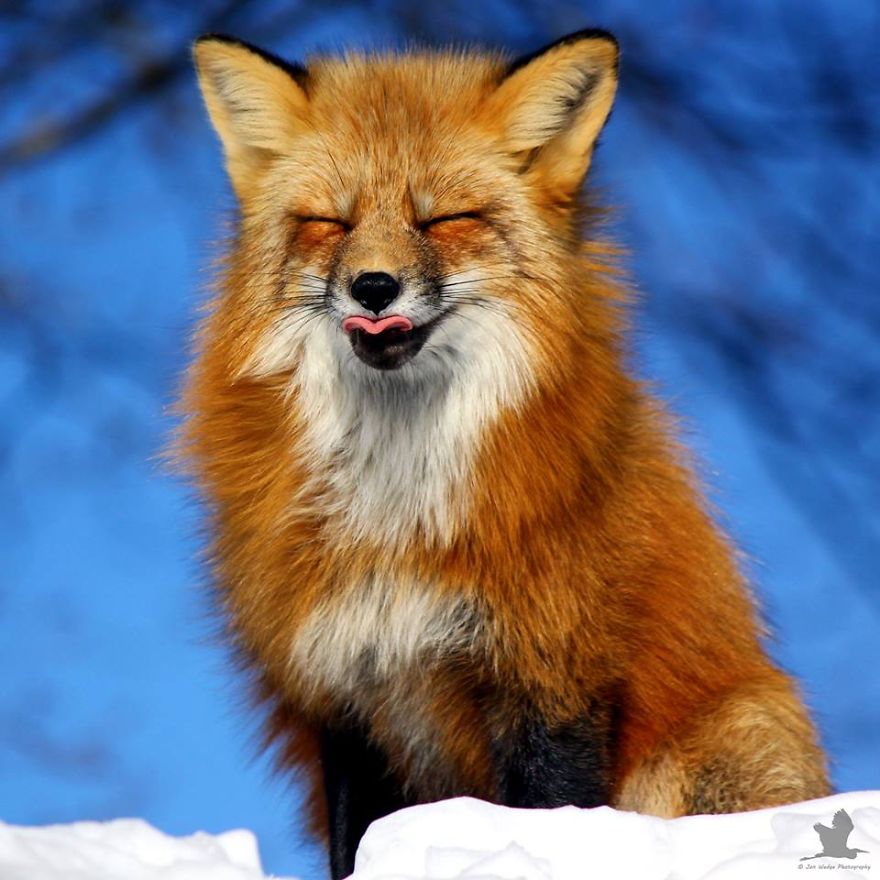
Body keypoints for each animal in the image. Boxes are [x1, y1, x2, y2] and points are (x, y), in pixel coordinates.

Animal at [179, 28, 830, 880]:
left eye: (444, 219)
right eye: (331, 222)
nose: (373, 287)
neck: (395, 508)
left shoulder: (553, 674)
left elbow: (551, 814)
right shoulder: (344, 691)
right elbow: (354, 845)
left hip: (735, 736)